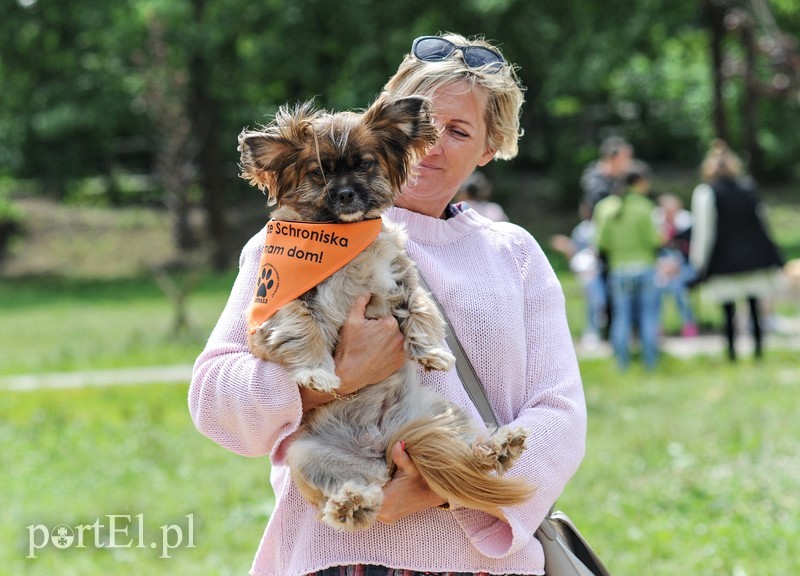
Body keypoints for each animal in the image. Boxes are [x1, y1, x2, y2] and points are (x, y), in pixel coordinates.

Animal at [241, 94, 536, 532]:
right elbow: (303, 326)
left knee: (466, 449)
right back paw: (351, 503)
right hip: (307, 456)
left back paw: (498, 446)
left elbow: (421, 307)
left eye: (365, 163)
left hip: (442, 412)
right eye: (319, 173)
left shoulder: (399, 275)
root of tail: (380, 449)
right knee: (353, 488)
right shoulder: (280, 301)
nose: (346, 193)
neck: (345, 236)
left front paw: (432, 351)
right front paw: (317, 373)